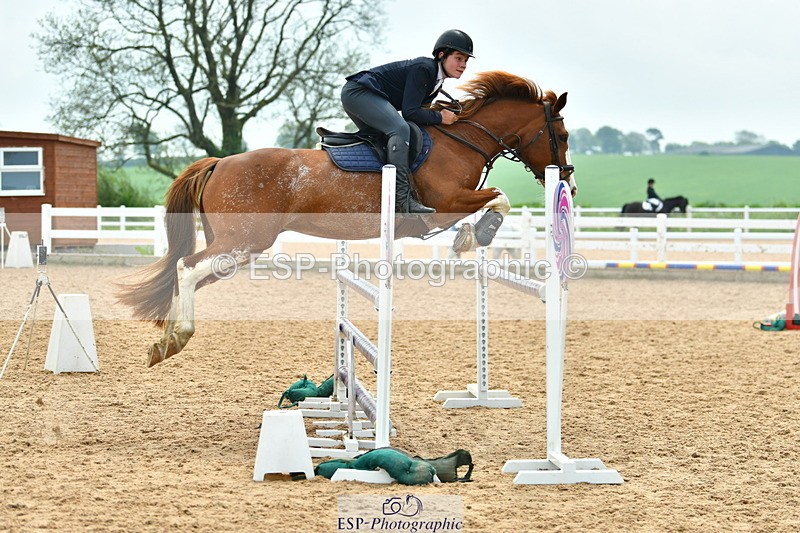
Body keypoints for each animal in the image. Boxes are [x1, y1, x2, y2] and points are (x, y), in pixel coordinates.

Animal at [117, 71, 576, 367]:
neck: (461, 139)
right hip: (244, 241)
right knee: (186, 267)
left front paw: (469, 235)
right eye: (563, 135)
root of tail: (218, 163)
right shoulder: (446, 202)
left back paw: (162, 342)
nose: (569, 183)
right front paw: (476, 234)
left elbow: (494, 200)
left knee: (187, 273)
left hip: (235, 247)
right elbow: (499, 199)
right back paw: (177, 336)